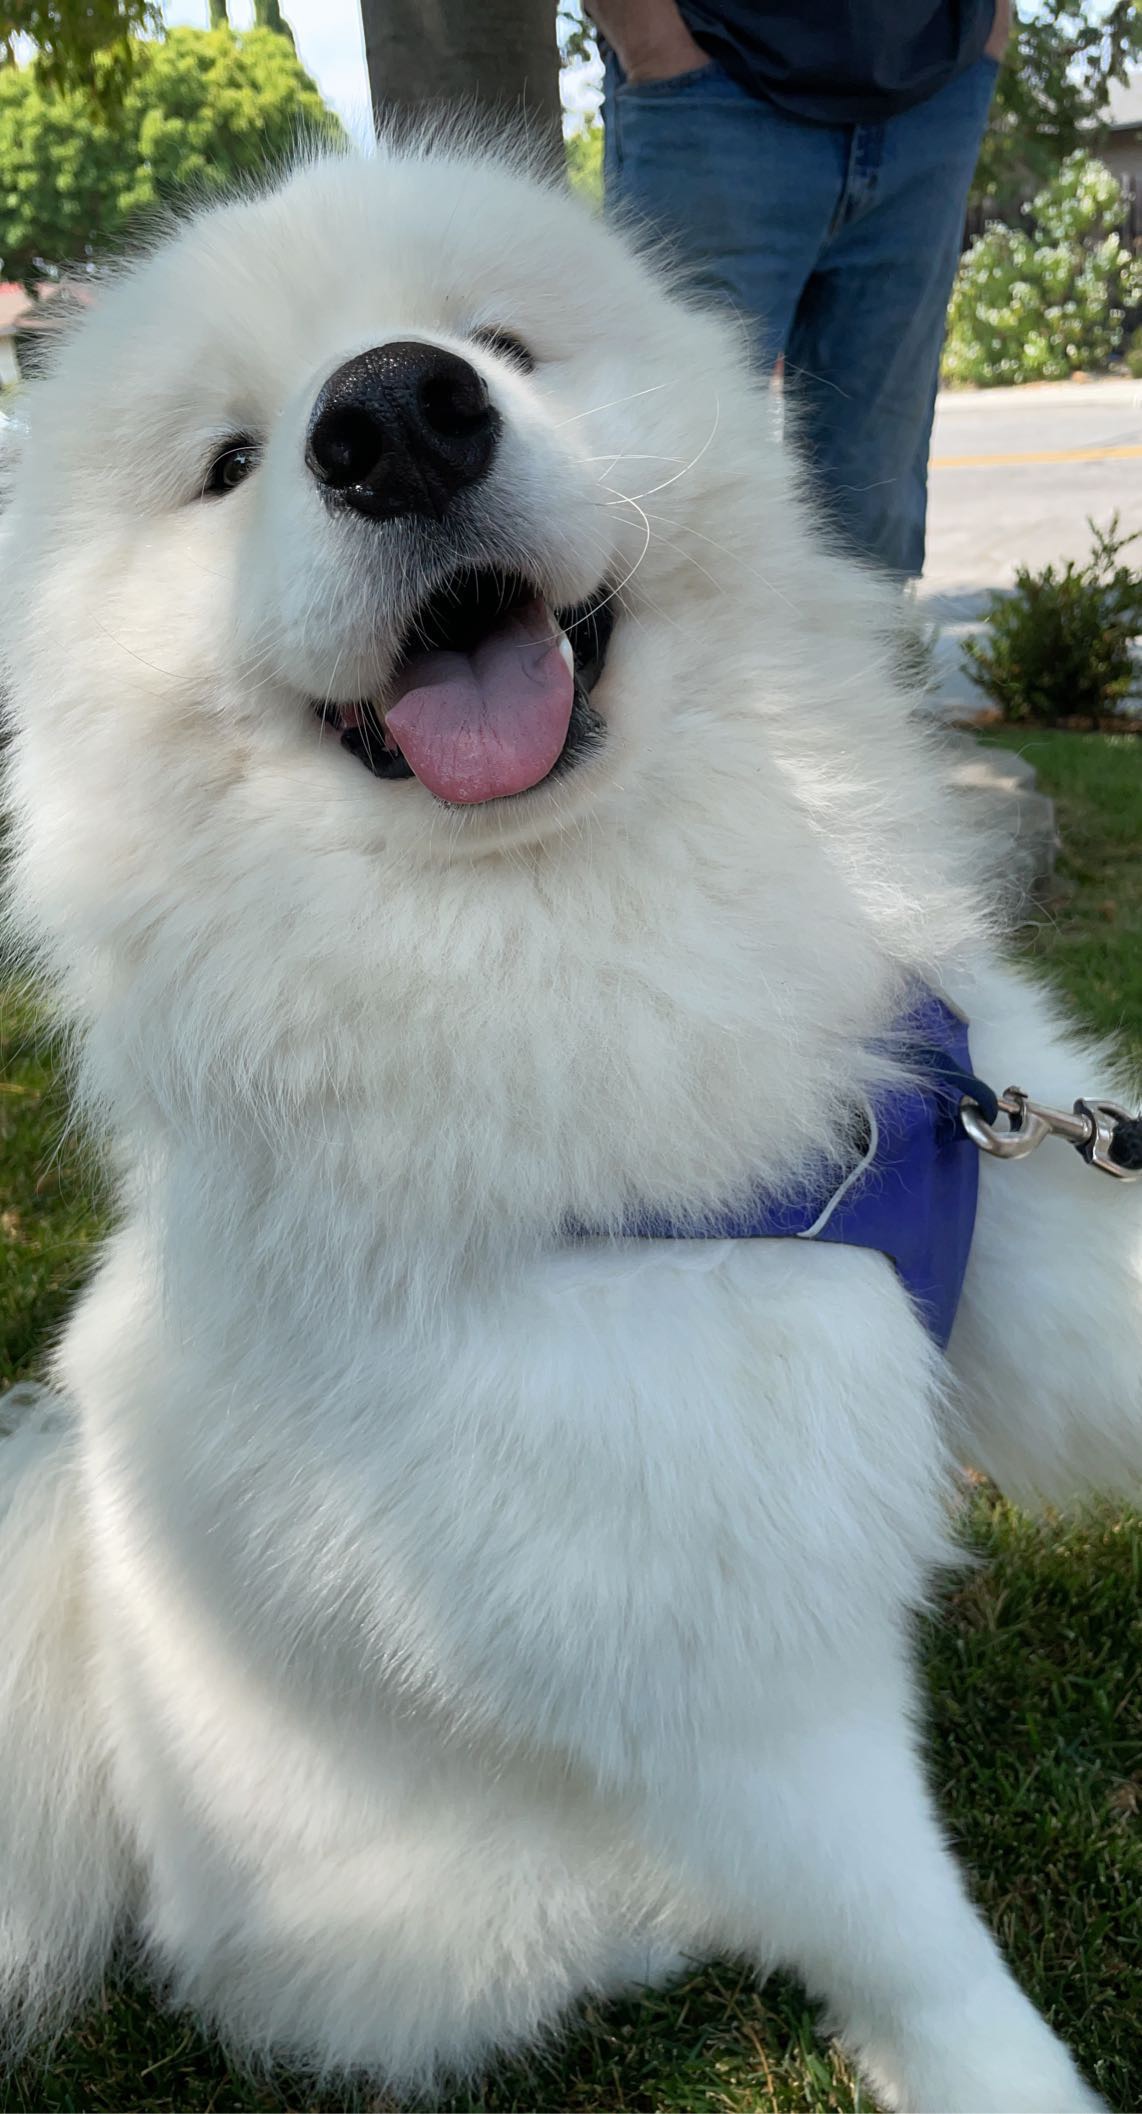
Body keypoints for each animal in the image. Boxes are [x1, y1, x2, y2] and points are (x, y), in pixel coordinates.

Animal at [2, 140, 1142, 2105]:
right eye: (225, 462)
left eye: (503, 342)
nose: (395, 415)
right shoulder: (725, 1657)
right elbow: (918, 1942)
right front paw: (994, 2074)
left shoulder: (1010, 1169)